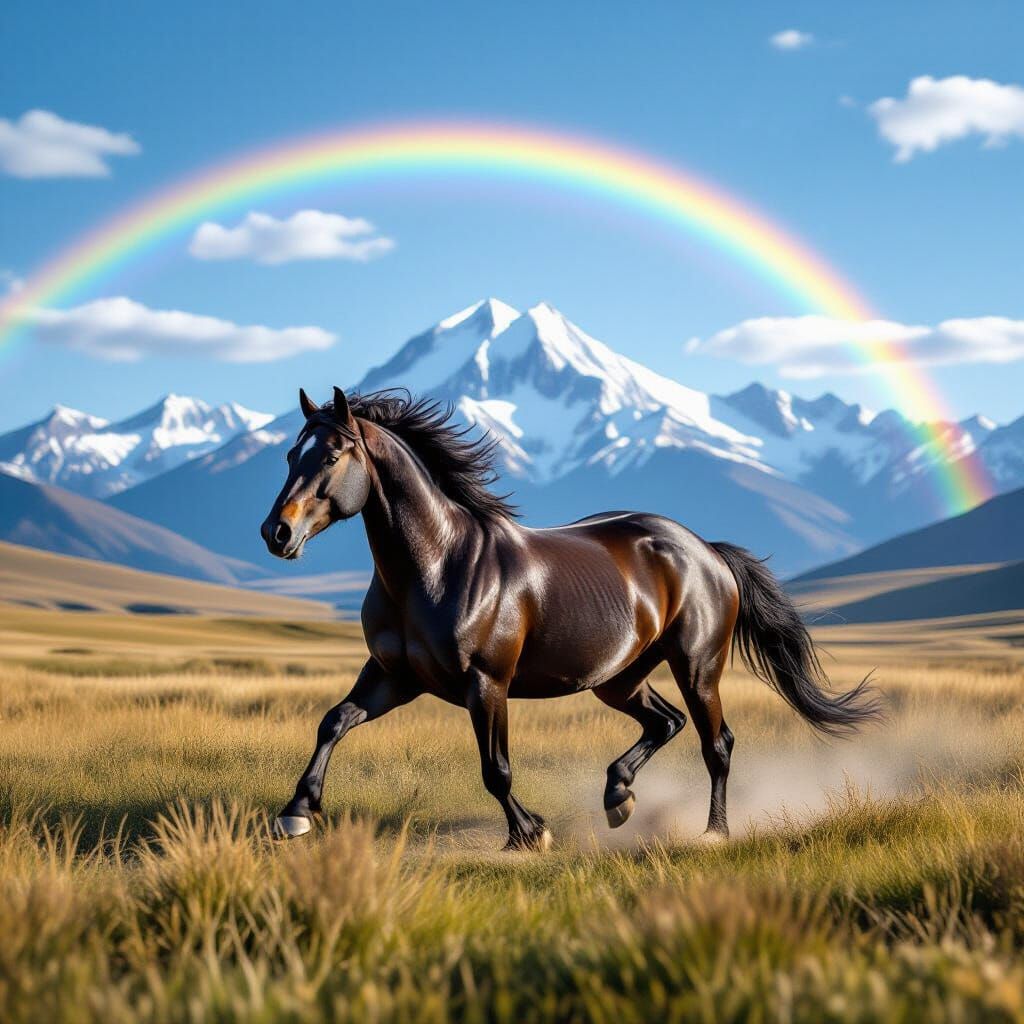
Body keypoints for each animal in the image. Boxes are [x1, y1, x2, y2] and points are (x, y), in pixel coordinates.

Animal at [261, 386, 880, 849]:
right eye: (291, 456)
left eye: (332, 455)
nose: (277, 533)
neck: (435, 566)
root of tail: (706, 550)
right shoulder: (396, 676)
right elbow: (333, 722)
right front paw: (296, 813)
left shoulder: (486, 683)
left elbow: (496, 768)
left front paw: (529, 834)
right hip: (619, 678)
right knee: (666, 723)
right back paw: (618, 797)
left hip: (698, 666)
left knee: (717, 743)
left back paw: (713, 833)